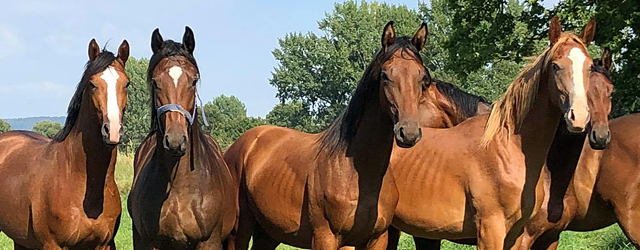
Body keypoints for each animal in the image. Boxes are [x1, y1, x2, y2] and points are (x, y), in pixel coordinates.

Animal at [0, 39, 129, 250]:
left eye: (126, 83)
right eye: (92, 84)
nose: (113, 130)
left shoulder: (104, 244)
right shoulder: (54, 244)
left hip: (21, 239)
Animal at [127, 26, 235, 249]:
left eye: (194, 80)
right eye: (155, 82)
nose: (175, 141)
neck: (180, 188)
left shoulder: (209, 241)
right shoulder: (149, 242)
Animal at [222, 22, 428, 250]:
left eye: (422, 77)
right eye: (385, 75)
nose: (408, 132)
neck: (358, 173)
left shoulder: (375, 240)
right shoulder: (325, 237)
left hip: (269, 233)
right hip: (238, 232)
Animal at [380, 16, 596, 250]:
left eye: (590, 67)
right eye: (556, 66)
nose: (579, 116)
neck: (508, 148)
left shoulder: (516, 235)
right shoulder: (490, 230)